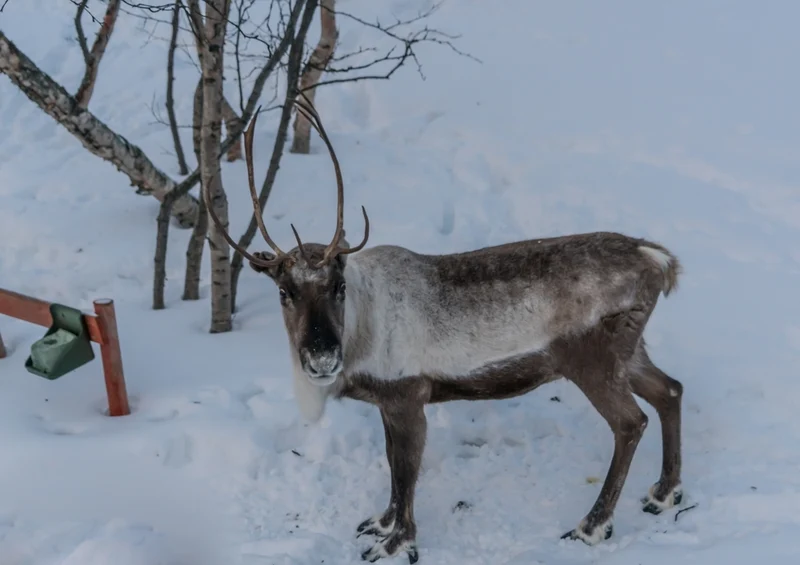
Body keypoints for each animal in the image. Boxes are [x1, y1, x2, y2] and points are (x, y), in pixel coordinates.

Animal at [204, 97, 686, 563]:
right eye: (284, 291)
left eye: (337, 286)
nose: (322, 357)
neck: (361, 328)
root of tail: (656, 260)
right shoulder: (387, 401)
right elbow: (391, 462)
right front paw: (380, 523)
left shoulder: (408, 397)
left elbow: (405, 470)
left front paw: (395, 543)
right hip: (630, 351)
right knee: (670, 389)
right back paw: (664, 494)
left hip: (593, 360)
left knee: (631, 422)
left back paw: (592, 526)